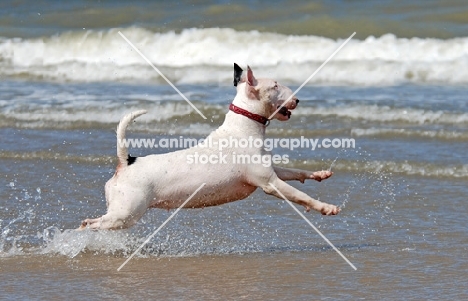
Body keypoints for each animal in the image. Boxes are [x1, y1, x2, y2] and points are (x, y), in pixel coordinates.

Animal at [78, 62, 338, 227]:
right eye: (275, 86)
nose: (298, 99)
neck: (242, 128)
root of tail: (126, 162)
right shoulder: (269, 183)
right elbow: (302, 196)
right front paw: (327, 207)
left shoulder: (272, 172)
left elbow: (296, 172)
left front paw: (320, 174)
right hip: (125, 214)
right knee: (92, 224)